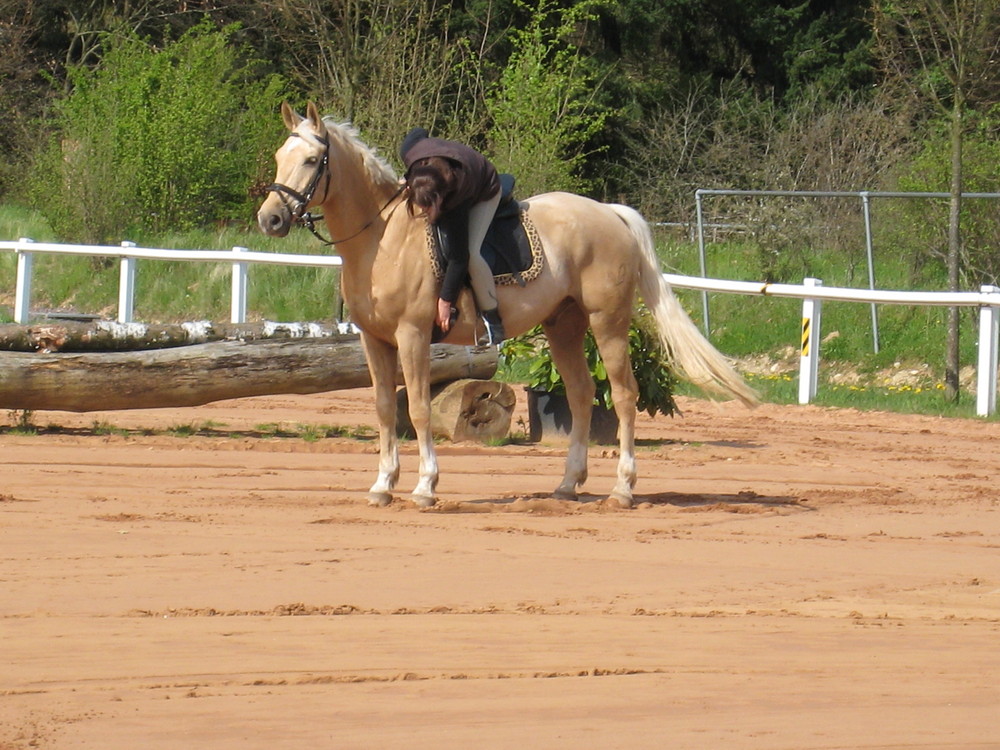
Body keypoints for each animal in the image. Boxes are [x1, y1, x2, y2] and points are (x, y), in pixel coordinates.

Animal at [258, 101, 756, 512]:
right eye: (280, 157)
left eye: (310, 160)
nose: (271, 219)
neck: (381, 237)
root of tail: (610, 212)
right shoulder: (374, 341)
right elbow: (383, 409)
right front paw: (383, 486)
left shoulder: (412, 335)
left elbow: (417, 409)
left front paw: (425, 487)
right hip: (564, 325)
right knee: (581, 393)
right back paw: (567, 484)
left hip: (608, 321)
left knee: (623, 395)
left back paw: (622, 489)